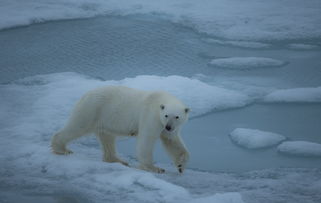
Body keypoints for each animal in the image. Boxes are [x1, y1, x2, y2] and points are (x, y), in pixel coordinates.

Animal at [51, 85, 189, 173]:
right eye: (166, 115)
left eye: (177, 117)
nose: (168, 127)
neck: (159, 100)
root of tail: (85, 95)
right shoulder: (151, 117)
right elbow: (146, 140)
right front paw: (154, 168)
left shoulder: (167, 127)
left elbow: (172, 142)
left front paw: (181, 165)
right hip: (91, 109)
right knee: (78, 126)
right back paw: (62, 149)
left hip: (104, 118)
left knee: (107, 138)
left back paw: (117, 160)